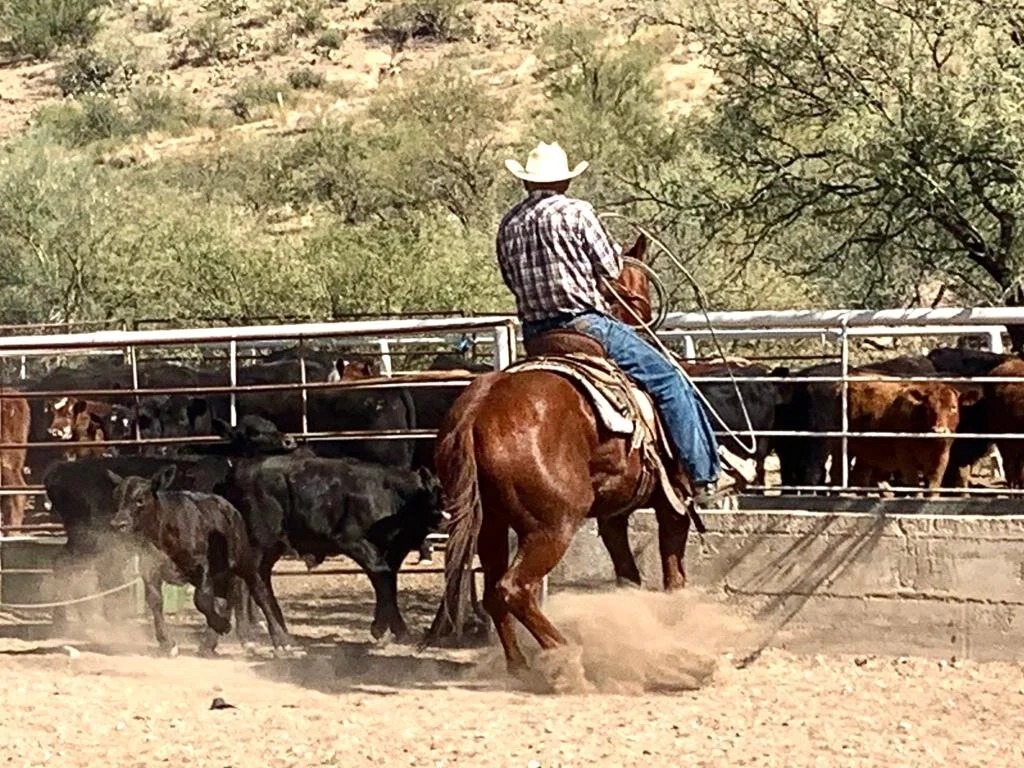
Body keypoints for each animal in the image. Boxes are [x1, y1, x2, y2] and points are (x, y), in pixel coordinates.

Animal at [107, 465, 291, 655]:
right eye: (116, 497)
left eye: (140, 500)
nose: (118, 524)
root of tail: (230, 508)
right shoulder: (150, 567)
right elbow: (154, 600)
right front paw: (167, 643)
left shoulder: (201, 565)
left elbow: (201, 599)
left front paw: (223, 625)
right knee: (224, 598)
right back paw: (209, 643)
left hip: (243, 560)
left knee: (257, 591)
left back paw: (280, 641)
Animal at [423, 234, 704, 683]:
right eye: (639, 288)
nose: (645, 319)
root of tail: (478, 409)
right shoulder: (672, 504)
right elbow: (673, 578)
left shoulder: (613, 515)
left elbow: (628, 577)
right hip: (551, 526)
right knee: (513, 589)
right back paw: (571, 660)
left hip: (490, 523)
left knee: (494, 593)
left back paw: (521, 667)